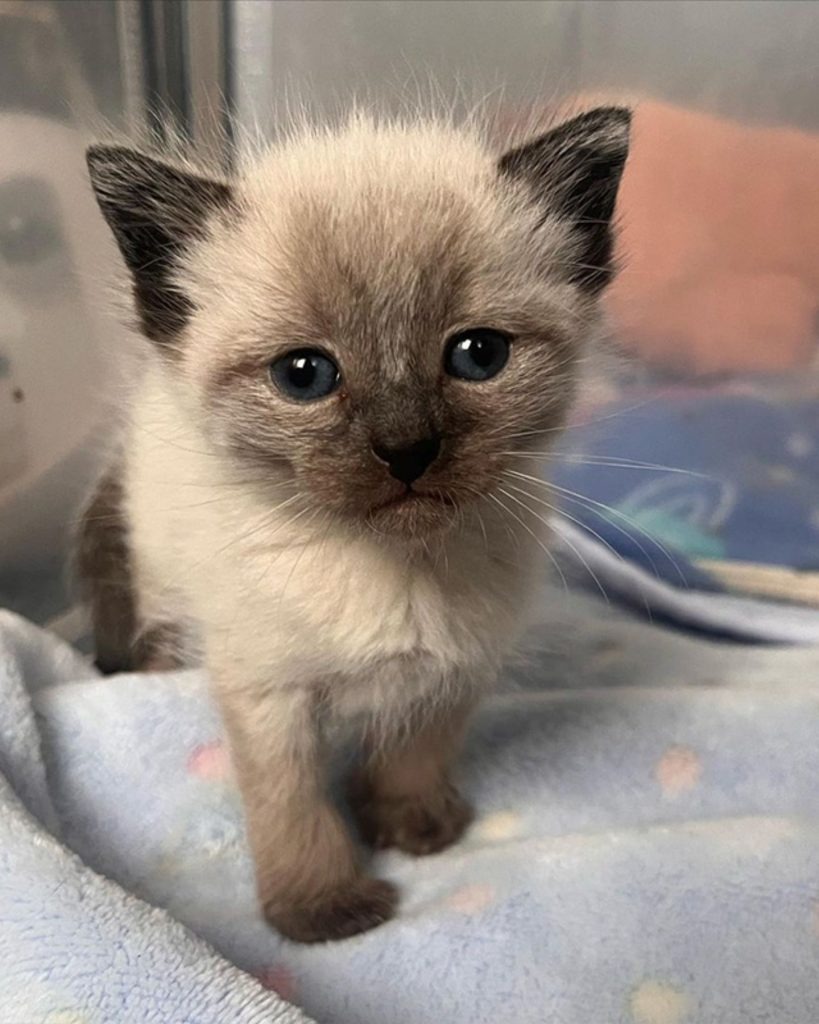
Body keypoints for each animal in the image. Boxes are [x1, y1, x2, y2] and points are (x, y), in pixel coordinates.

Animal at [79, 105, 630, 942]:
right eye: (303, 375)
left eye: (477, 355)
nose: (406, 450)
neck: (391, 570)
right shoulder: (267, 694)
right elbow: (293, 804)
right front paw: (323, 910)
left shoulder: (453, 668)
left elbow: (414, 753)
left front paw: (414, 831)